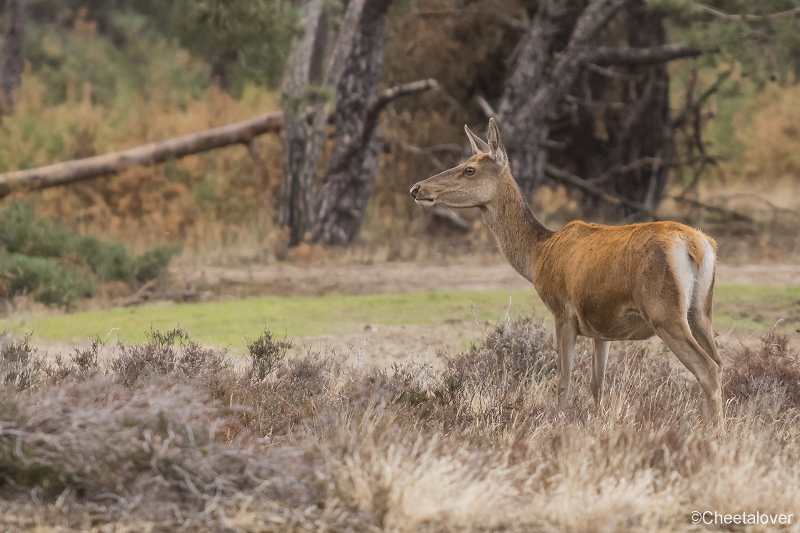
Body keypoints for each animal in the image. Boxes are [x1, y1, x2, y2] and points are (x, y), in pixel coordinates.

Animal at [410, 118, 720, 422]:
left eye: (469, 169)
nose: (417, 189)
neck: (538, 255)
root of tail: (697, 245)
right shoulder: (601, 327)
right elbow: (597, 383)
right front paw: (599, 421)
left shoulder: (563, 312)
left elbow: (563, 381)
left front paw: (559, 423)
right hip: (701, 311)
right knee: (719, 361)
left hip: (663, 310)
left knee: (707, 368)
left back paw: (712, 429)